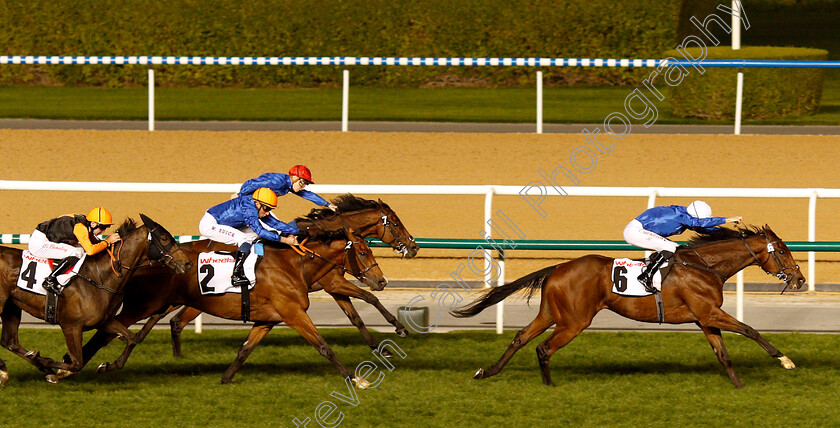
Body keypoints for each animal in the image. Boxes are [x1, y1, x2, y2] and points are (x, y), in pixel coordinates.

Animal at [0, 214, 190, 384]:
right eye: (164, 238)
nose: (187, 263)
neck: (99, 277)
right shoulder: (71, 326)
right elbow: (76, 363)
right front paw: (47, 363)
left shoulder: (104, 320)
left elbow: (132, 338)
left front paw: (106, 366)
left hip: (11, 307)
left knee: (9, 342)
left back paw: (10, 371)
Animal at [69, 226, 388, 386]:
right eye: (362, 251)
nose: (381, 280)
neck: (294, 265)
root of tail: (143, 259)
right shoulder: (294, 313)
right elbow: (324, 346)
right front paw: (354, 378)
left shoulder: (268, 319)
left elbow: (244, 349)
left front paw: (225, 378)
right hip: (144, 304)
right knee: (110, 332)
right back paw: (76, 366)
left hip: (161, 304)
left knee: (133, 333)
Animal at [452, 226, 808, 390]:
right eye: (783, 251)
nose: (800, 279)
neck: (705, 266)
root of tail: (558, 268)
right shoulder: (708, 313)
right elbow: (750, 329)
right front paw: (785, 360)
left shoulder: (704, 319)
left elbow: (723, 353)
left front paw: (738, 386)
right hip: (575, 321)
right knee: (542, 347)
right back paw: (549, 386)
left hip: (551, 313)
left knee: (521, 338)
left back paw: (488, 371)